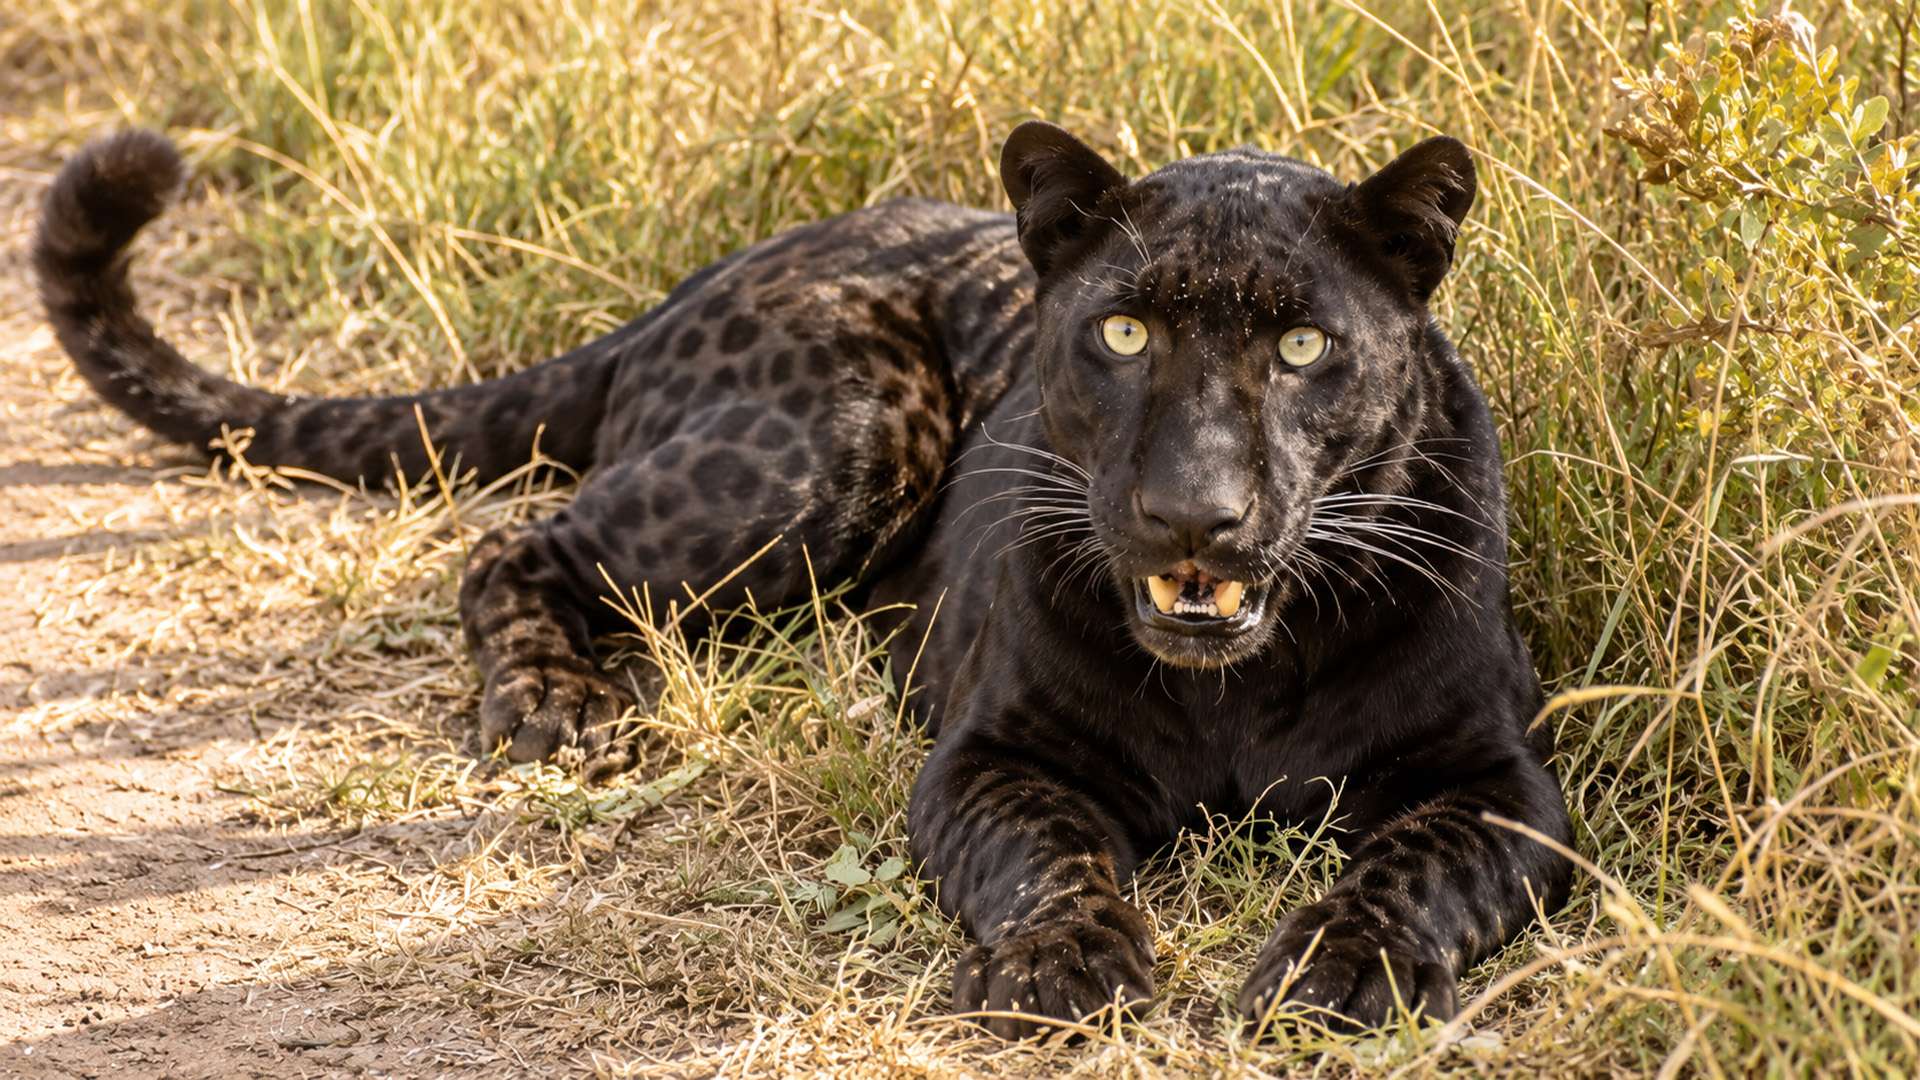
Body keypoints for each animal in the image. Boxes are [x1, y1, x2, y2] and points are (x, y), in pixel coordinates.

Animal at [35, 122, 1572, 1036]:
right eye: (1125, 332)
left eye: (1305, 347)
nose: (1191, 513)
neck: (1237, 693)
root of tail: (702, 279)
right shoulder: (998, 759)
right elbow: (1057, 862)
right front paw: (1067, 970)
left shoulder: (1499, 780)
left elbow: (1409, 868)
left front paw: (1341, 971)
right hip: (838, 435)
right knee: (516, 545)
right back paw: (561, 709)